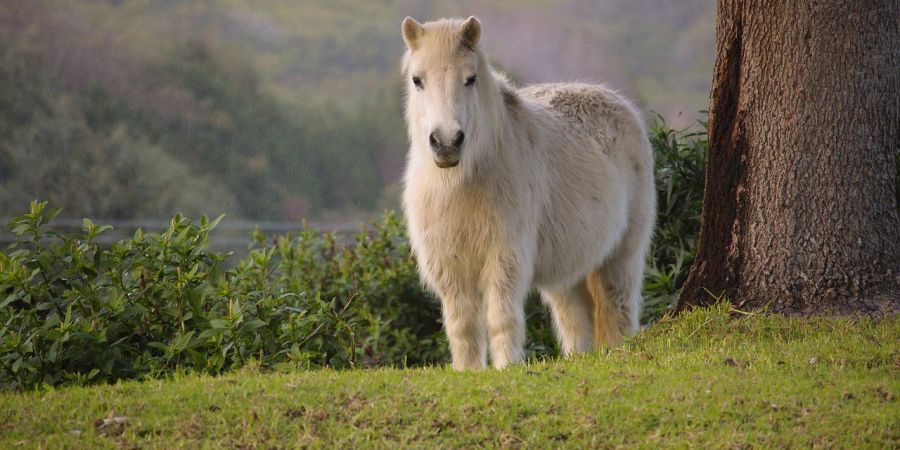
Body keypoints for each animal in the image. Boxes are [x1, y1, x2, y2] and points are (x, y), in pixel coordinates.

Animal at [400, 16, 652, 370]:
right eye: (417, 80)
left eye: (471, 79)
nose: (447, 143)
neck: (460, 185)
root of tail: (620, 104)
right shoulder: (449, 266)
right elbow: (462, 325)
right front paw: (468, 371)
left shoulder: (504, 256)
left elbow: (500, 316)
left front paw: (507, 367)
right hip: (568, 273)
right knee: (575, 320)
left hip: (621, 256)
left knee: (619, 308)